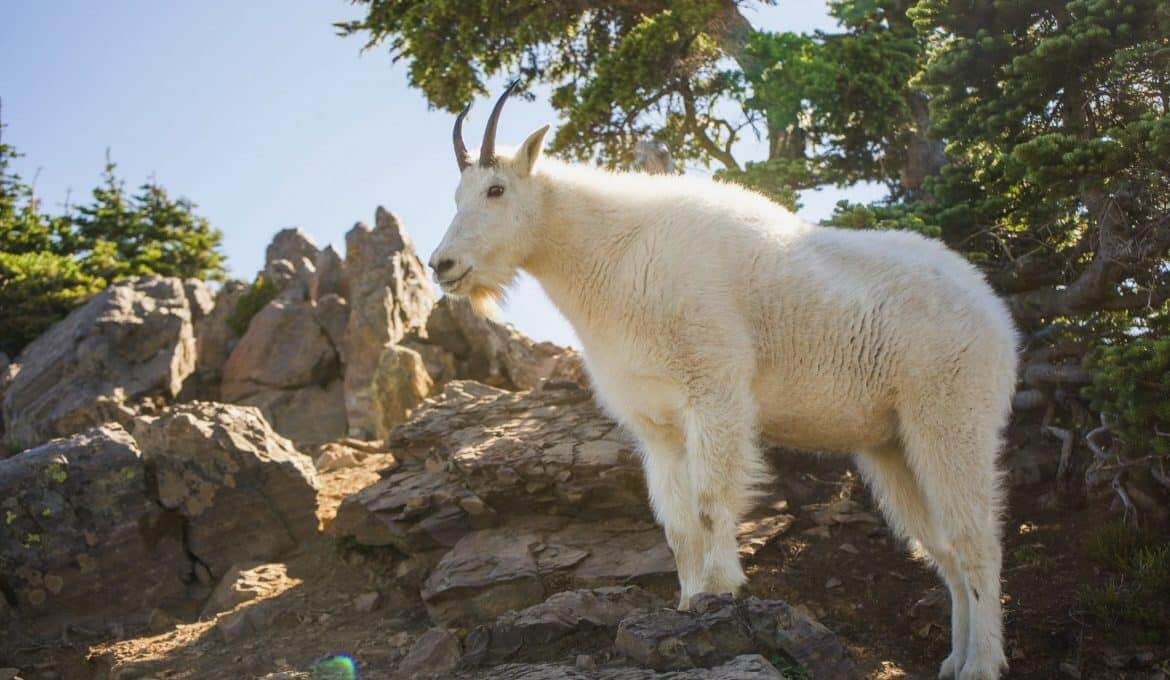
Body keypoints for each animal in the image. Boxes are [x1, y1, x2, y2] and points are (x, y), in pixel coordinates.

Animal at [429, 84, 1017, 680]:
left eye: (496, 189)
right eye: (455, 196)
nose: (442, 265)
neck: (613, 255)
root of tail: (995, 314)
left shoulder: (714, 390)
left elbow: (711, 499)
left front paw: (723, 590)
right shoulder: (656, 425)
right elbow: (676, 522)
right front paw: (688, 600)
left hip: (951, 417)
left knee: (977, 541)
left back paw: (982, 662)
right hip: (892, 446)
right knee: (942, 549)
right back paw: (954, 659)